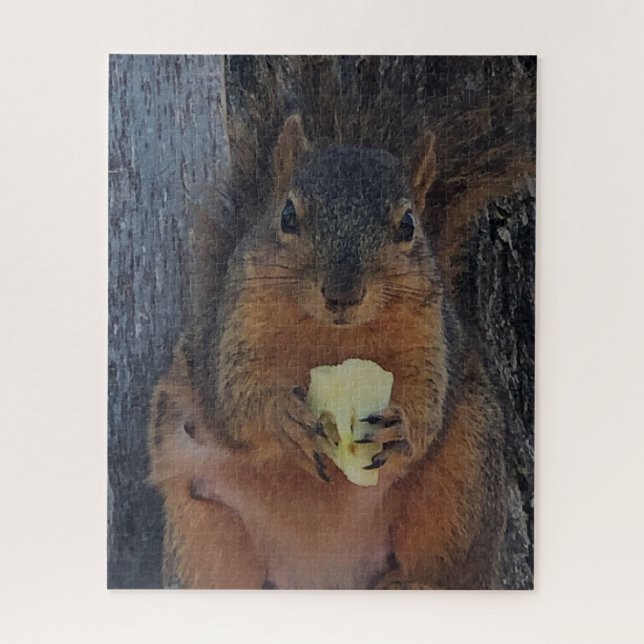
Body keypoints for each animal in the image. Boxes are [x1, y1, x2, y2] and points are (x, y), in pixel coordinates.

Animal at [147, 114, 507, 589]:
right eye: (287, 216)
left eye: (408, 225)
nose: (342, 294)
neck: (335, 340)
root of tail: (322, 574)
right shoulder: (236, 331)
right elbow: (237, 400)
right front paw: (283, 415)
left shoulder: (431, 338)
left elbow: (426, 403)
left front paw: (402, 426)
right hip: (202, 521)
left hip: (460, 485)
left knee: (446, 566)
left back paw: (408, 583)